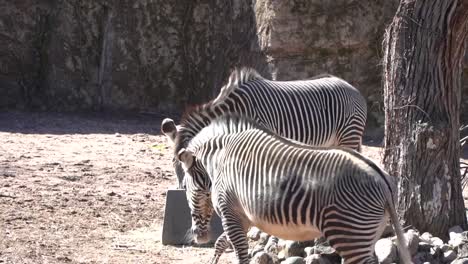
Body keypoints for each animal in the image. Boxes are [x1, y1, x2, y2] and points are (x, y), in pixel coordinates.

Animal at [163, 67, 368, 189]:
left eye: (188, 166)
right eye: (173, 164)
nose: (182, 190)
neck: (236, 108)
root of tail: (352, 87)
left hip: (348, 134)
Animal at [175, 115, 410, 264]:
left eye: (185, 187)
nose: (199, 238)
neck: (218, 161)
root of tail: (383, 181)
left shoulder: (229, 211)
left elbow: (239, 252)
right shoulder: (242, 216)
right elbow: (222, 243)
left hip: (350, 233)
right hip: (367, 233)